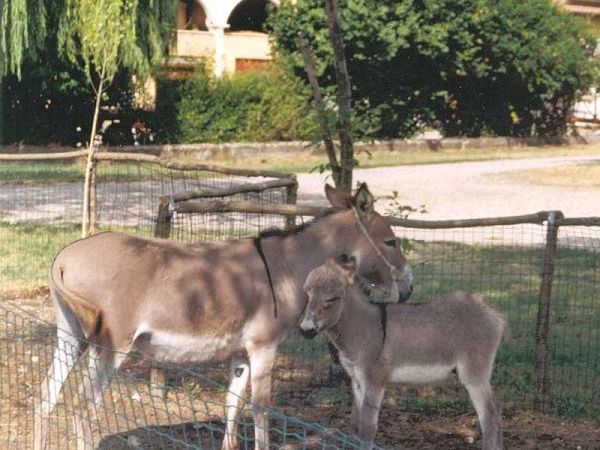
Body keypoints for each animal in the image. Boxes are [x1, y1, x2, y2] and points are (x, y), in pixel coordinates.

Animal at [300, 260, 506, 450]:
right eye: (308, 294)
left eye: (332, 298)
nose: (305, 330)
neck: (364, 326)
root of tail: (494, 313)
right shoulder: (357, 380)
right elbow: (355, 424)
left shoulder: (374, 381)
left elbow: (367, 428)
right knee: (495, 411)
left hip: (474, 375)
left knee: (489, 415)